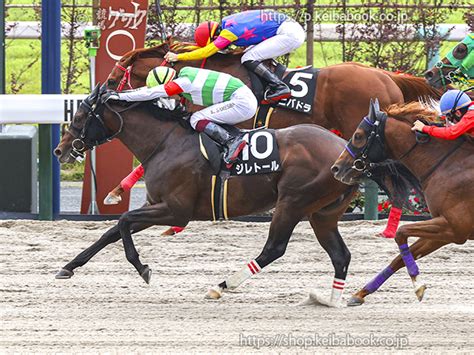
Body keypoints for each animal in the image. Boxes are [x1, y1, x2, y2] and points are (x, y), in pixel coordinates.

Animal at [53, 84, 358, 306]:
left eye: (78, 117)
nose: (60, 150)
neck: (167, 142)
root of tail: (344, 151)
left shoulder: (176, 211)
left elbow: (123, 219)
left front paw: (143, 268)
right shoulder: (157, 205)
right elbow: (112, 231)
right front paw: (68, 267)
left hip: (292, 203)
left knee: (274, 248)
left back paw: (221, 285)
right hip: (322, 214)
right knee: (340, 255)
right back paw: (333, 300)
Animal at [332, 100, 472, 306]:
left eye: (358, 136)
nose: (336, 168)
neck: (449, 164)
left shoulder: (455, 227)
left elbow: (401, 232)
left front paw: (417, 283)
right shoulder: (446, 229)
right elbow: (400, 257)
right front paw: (361, 293)